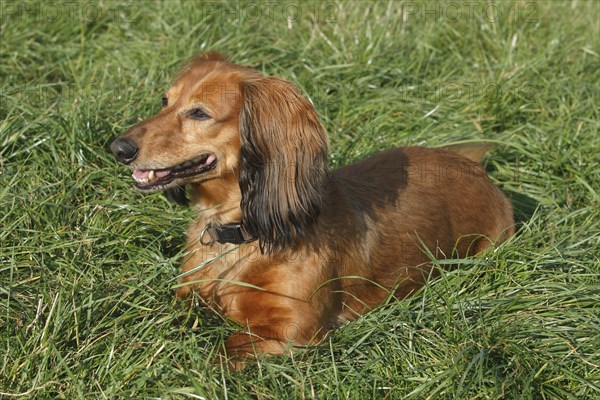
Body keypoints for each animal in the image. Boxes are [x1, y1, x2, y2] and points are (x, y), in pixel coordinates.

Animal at [110, 53, 512, 368]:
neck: (243, 233)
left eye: (198, 113)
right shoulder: (186, 295)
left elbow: (228, 346)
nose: (118, 147)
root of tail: (473, 167)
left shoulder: (295, 331)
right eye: (164, 101)